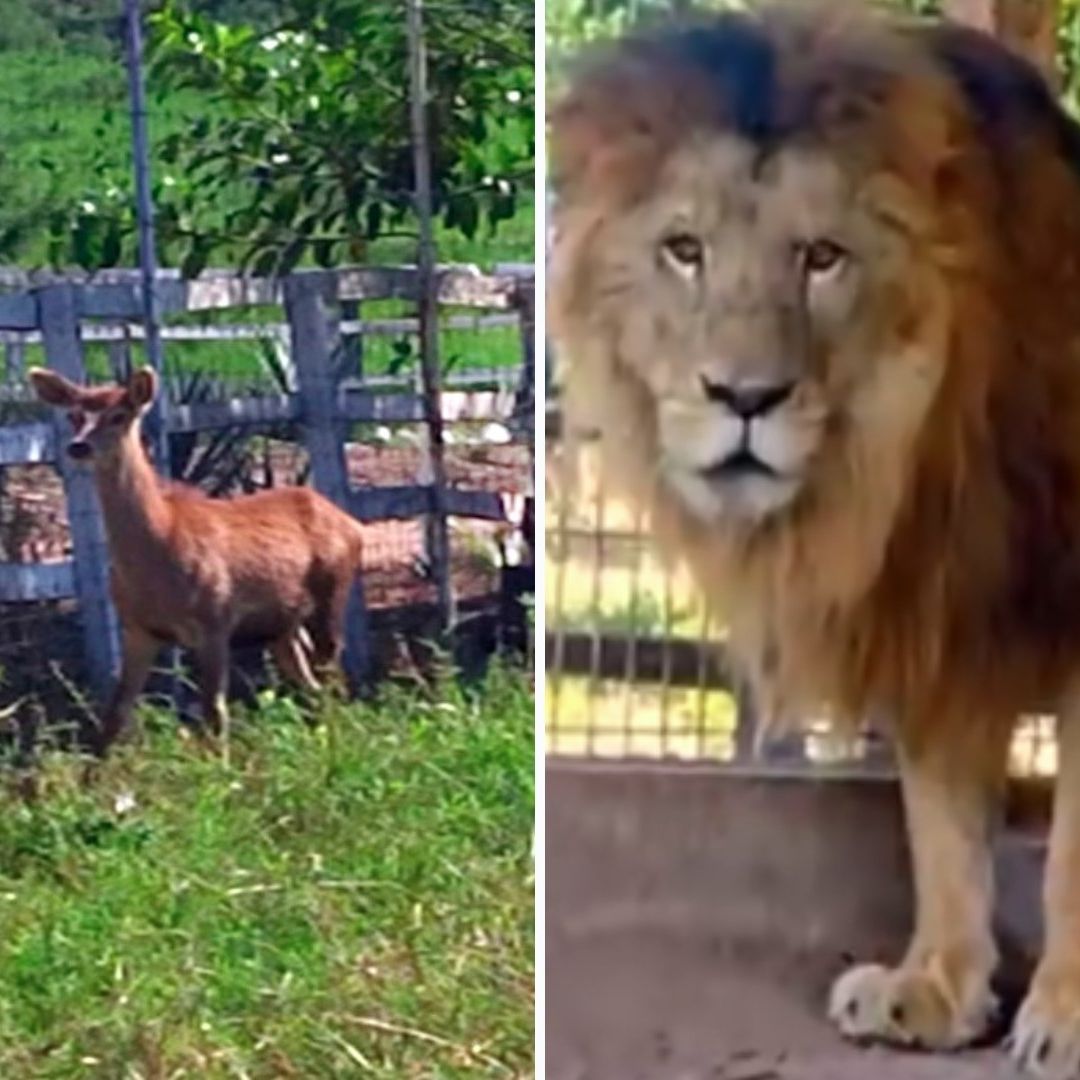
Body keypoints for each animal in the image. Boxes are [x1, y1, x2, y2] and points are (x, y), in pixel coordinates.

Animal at [549, 2, 1080, 1075]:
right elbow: (940, 820)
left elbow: (1077, 852)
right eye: (685, 249)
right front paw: (936, 992)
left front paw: (1066, 1015)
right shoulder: (936, 602)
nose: (744, 397)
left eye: (821, 256)